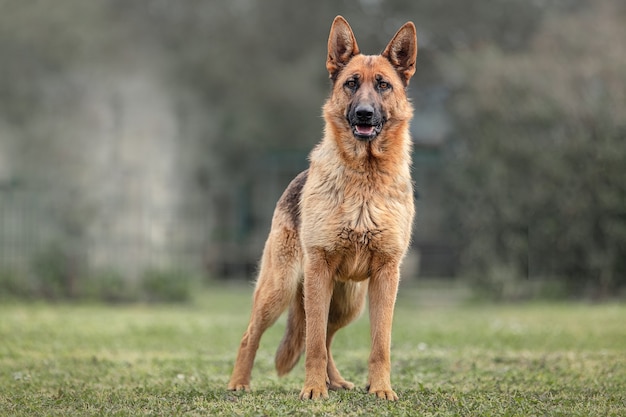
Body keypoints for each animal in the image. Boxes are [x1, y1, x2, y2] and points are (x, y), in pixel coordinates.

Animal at [227, 16, 416, 400]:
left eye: (383, 85)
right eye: (351, 84)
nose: (364, 114)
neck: (365, 180)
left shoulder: (386, 276)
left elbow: (380, 344)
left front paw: (381, 388)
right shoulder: (318, 272)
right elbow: (311, 342)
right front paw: (313, 390)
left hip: (349, 303)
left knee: (327, 337)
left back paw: (338, 380)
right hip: (281, 289)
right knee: (253, 335)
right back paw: (239, 383)